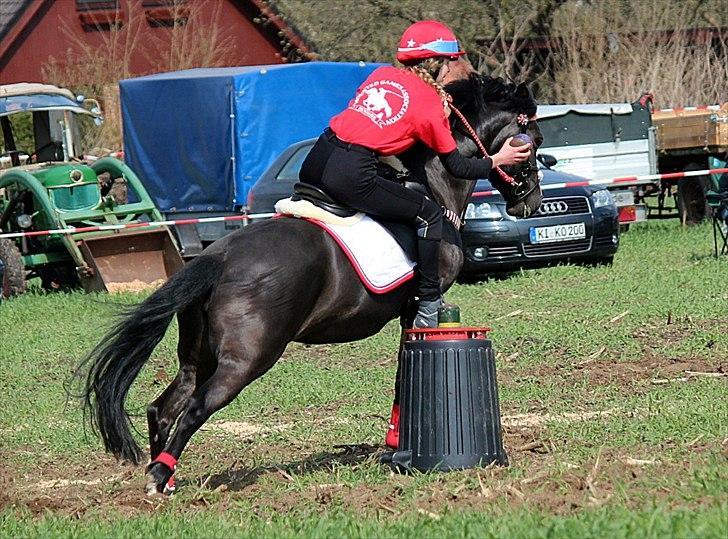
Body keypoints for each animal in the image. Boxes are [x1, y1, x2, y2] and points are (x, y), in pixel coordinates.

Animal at [81, 74, 540, 496]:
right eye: (532, 142)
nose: (531, 203)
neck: (435, 185)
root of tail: (217, 257)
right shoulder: (420, 303)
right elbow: (403, 370)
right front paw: (396, 443)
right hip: (248, 357)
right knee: (195, 408)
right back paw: (160, 475)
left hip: (198, 355)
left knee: (164, 406)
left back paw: (165, 474)